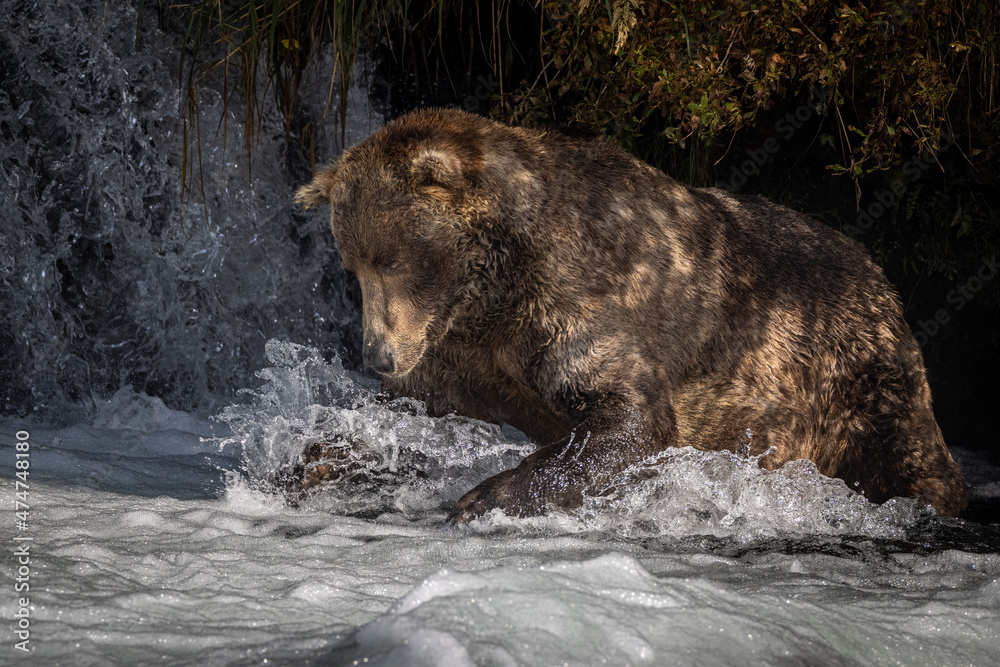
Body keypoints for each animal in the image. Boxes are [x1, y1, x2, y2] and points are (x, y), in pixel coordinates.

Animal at [294, 108, 968, 522]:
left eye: (393, 259)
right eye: (353, 265)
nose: (377, 355)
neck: (491, 290)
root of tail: (879, 275)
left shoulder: (577, 296)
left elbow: (629, 417)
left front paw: (483, 497)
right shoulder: (468, 351)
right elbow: (414, 409)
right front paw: (312, 460)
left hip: (854, 370)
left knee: (908, 454)